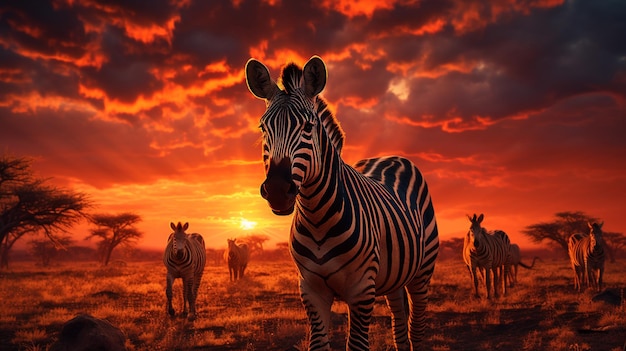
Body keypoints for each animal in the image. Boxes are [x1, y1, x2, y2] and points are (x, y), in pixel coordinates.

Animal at [245, 56, 438, 350]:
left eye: (308, 127)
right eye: (263, 128)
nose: (278, 190)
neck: (317, 217)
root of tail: (392, 157)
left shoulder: (361, 290)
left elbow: (356, 344)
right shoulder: (311, 290)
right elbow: (318, 344)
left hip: (422, 272)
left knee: (417, 330)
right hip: (394, 277)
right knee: (399, 326)